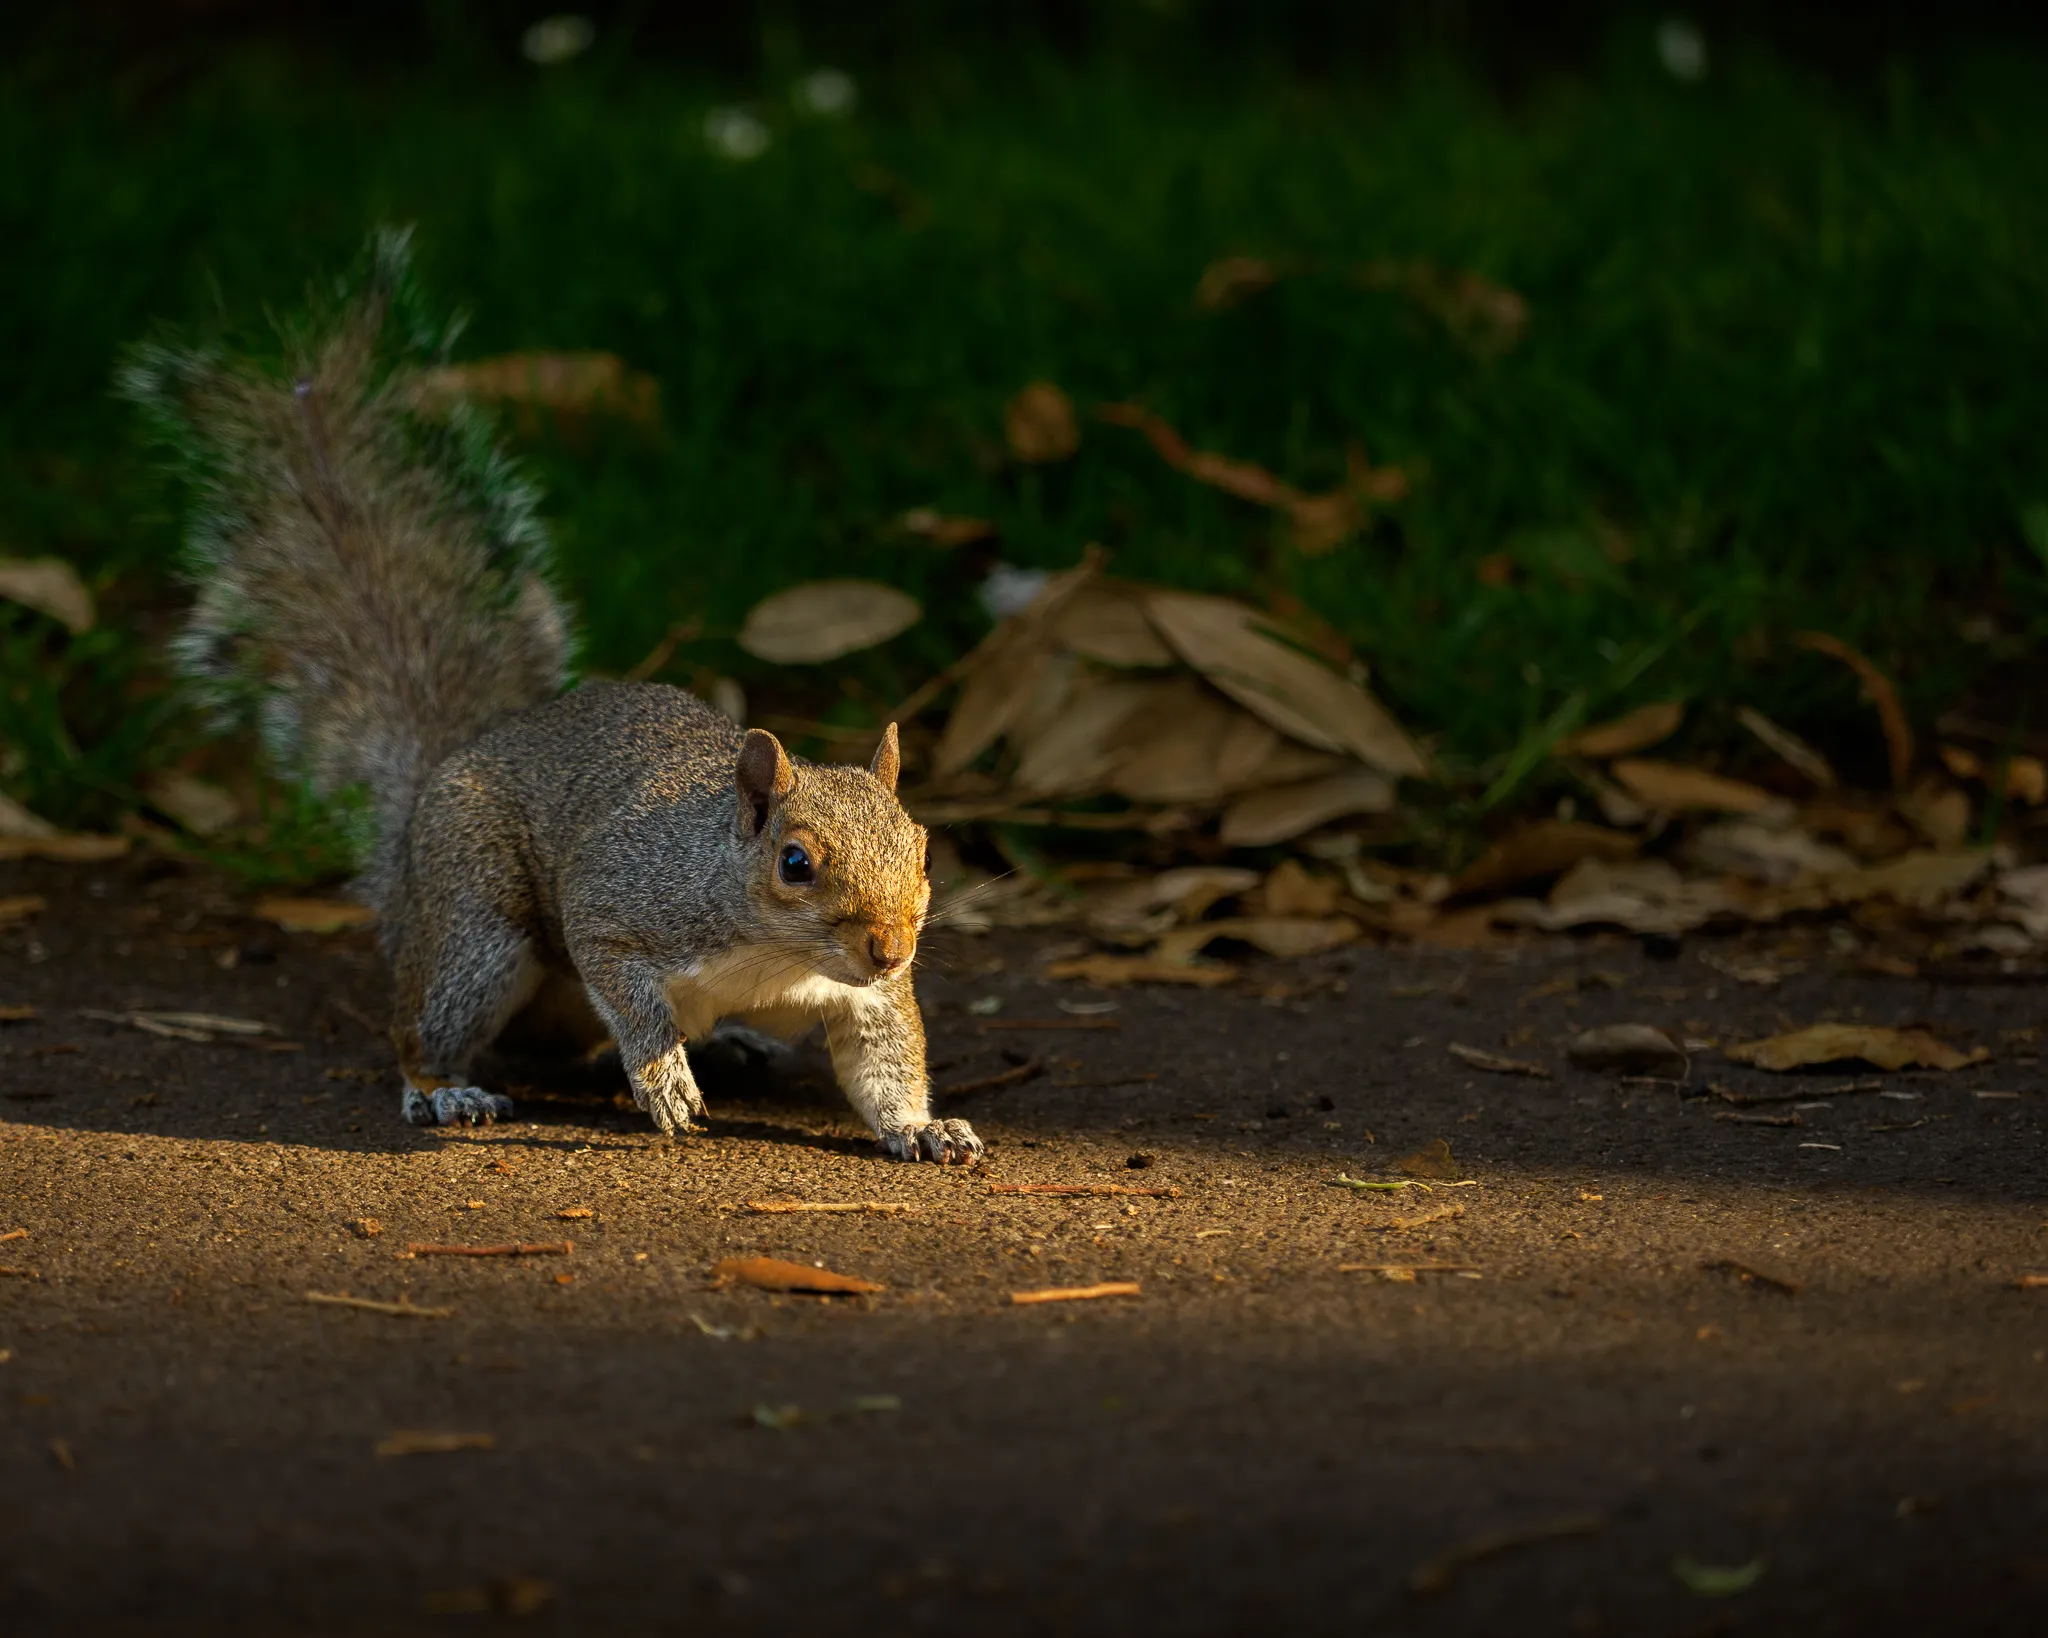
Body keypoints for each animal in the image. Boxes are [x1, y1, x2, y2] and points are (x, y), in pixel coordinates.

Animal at [121, 229, 981, 1165]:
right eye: (796, 864)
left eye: (924, 852)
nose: (892, 948)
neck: (775, 955)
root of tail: (422, 816)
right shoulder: (617, 904)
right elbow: (625, 988)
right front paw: (663, 1078)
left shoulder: (866, 999)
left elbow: (885, 1065)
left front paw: (923, 1127)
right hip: (476, 932)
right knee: (423, 1027)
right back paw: (447, 1089)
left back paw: (731, 1044)